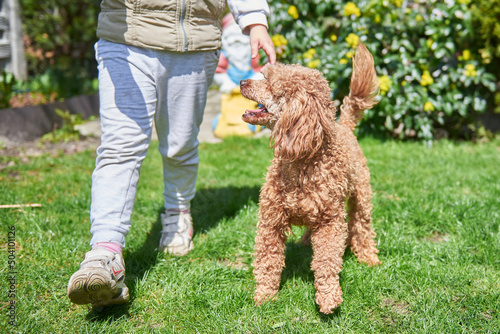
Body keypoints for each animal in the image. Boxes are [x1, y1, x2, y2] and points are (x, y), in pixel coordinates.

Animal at [240, 43, 380, 314]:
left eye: (270, 83)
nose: (242, 81)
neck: (301, 164)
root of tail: (344, 126)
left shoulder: (330, 222)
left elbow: (326, 261)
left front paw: (328, 298)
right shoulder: (270, 220)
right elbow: (267, 261)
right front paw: (265, 296)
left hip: (361, 194)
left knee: (362, 226)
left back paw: (369, 257)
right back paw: (306, 241)